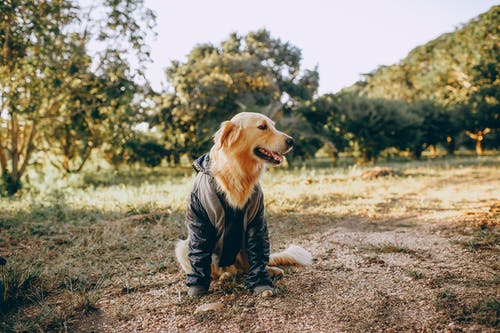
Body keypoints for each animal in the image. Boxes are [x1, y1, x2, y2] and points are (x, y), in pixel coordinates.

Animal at [174, 111, 310, 296]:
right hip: (183, 246)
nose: (292, 141)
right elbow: (200, 256)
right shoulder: (199, 218)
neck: (239, 171)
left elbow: (257, 256)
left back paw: (269, 271)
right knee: (221, 271)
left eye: (273, 126)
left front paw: (262, 284)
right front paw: (198, 285)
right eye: (262, 127)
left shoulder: (256, 219)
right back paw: (224, 276)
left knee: (247, 267)